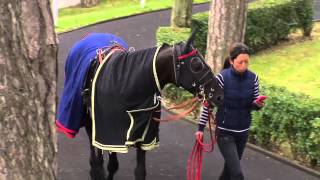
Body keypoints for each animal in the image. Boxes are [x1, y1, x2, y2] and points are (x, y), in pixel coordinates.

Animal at [58, 32, 222, 180]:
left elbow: (136, 170)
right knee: (94, 155)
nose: (218, 94)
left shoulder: (142, 135)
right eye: (196, 64)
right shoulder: (107, 132)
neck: (129, 82)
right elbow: (102, 161)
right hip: (90, 122)